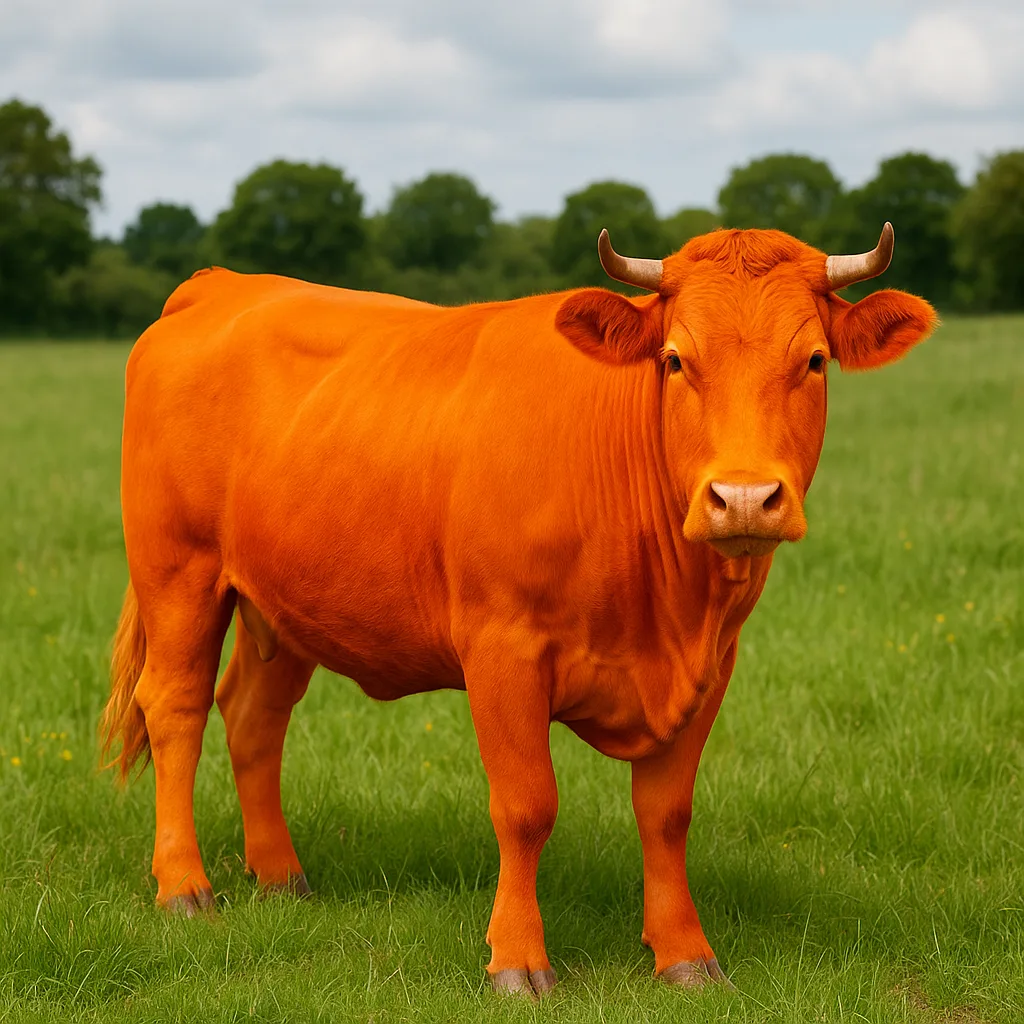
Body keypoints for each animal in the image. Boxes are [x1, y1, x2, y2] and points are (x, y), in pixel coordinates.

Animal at [102, 224, 936, 996]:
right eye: (675, 360)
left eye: (814, 362)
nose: (743, 498)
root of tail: (221, 284)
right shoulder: (503, 649)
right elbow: (526, 806)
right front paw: (518, 959)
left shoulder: (710, 665)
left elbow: (667, 815)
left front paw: (685, 955)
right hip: (178, 571)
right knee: (174, 708)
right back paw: (184, 885)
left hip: (283, 604)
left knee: (253, 718)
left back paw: (280, 875)